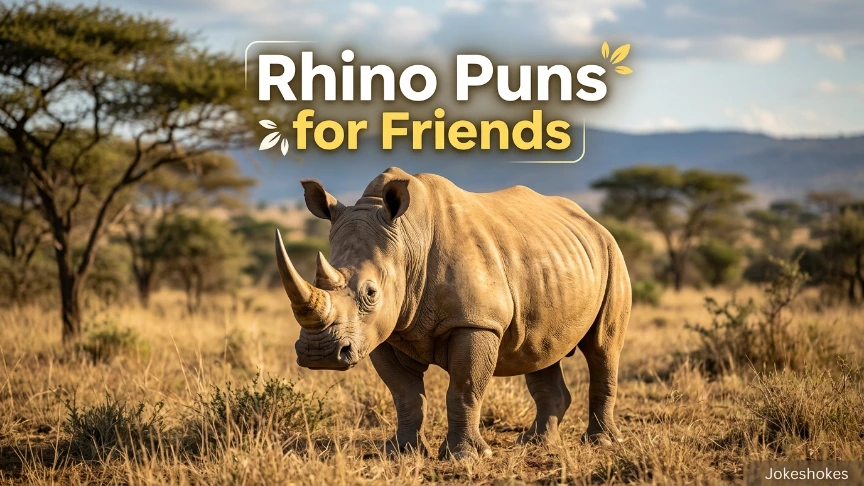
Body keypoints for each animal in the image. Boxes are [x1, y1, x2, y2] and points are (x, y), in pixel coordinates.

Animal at [275, 167, 630, 459]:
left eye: (371, 293)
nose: (319, 354)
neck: (408, 242)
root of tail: (594, 223)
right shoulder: (384, 331)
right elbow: (405, 394)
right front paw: (400, 452)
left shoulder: (475, 322)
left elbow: (464, 387)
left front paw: (466, 456)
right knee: (540, 351)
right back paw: (536, 443)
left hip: (612, 253)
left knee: (602, 347)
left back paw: (603, 442)